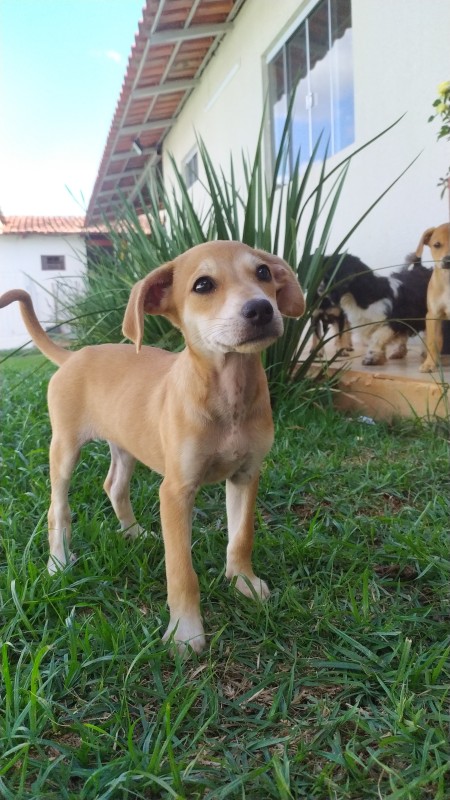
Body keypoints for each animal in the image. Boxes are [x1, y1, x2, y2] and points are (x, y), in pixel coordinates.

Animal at [0, 241, 304, 652]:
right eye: (203, 285)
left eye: (263, 273)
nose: (261, 309)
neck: (228, 395)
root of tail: (75, 354)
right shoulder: (175, 491)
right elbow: (181, 570)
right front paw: (185, 631)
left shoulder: (246, 474)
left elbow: (242, 537)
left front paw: (244, 583)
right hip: (63, 448)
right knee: (57, 509)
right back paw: (58, 563)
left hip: (125, 443)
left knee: (114, 486)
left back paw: (133, 533)